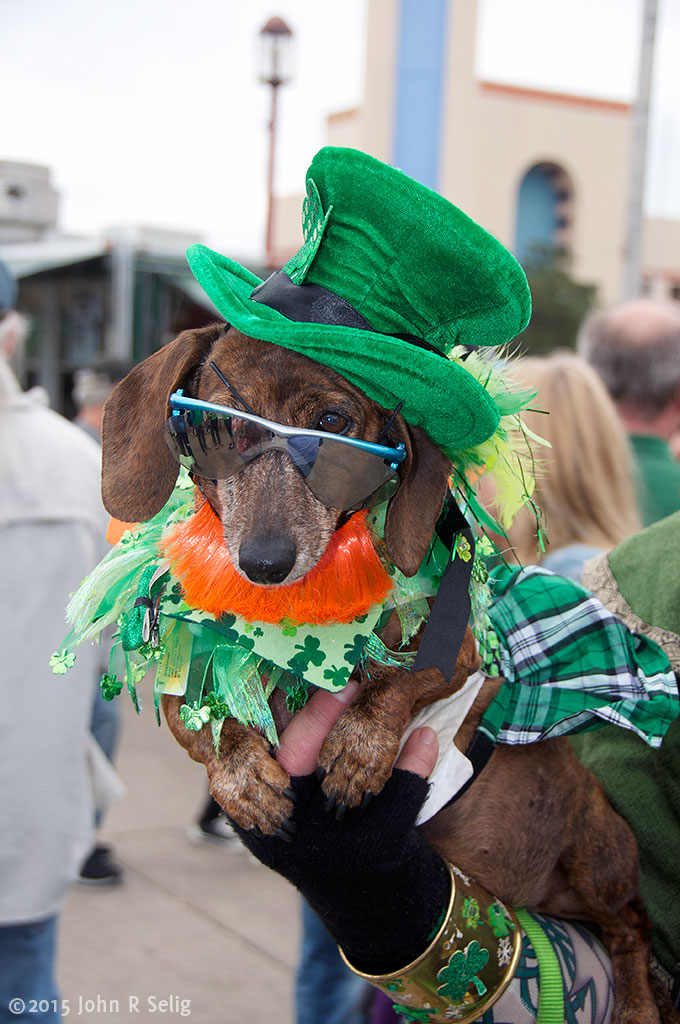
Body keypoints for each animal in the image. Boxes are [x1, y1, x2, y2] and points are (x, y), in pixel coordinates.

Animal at [102, 325, 663, 1024]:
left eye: (331, 423)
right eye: (219, 429)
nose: (263, 563)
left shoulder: (462, 652)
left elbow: (389, 683)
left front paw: (355, 750)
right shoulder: (188, 663)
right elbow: (199, 718)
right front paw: (243, 777)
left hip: (598, 852)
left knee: (632, 925)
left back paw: (639, 1003)